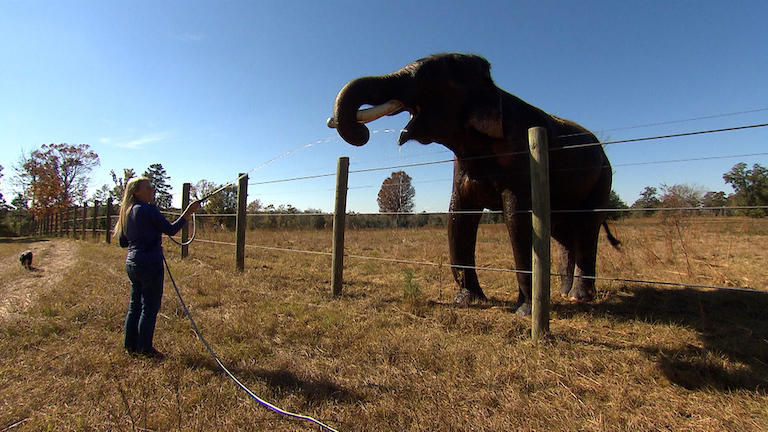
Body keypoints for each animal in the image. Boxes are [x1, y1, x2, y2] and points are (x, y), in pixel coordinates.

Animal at [326, 54, 616, 316]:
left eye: (429, 77)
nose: (362, 132)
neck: (495, 90)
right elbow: (458, 217)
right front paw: (467, 301)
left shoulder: (521, 157)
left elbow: (517, 218)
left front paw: (524, 312)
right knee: (564, 233)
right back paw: (565, 294)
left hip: (603, 177)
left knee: (586, 227)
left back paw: (579, 297)